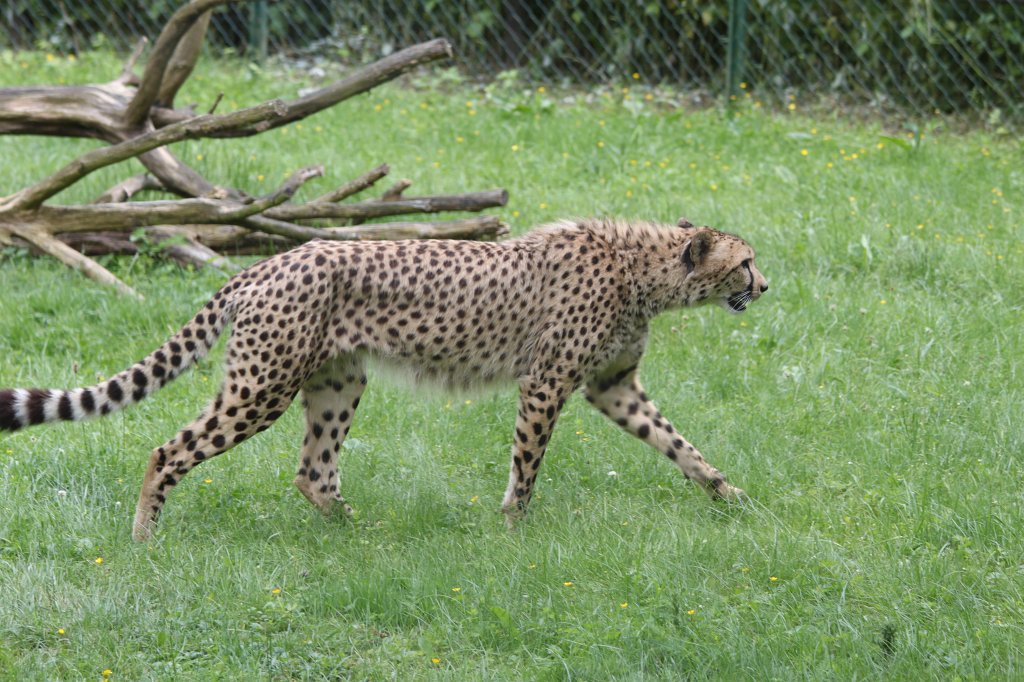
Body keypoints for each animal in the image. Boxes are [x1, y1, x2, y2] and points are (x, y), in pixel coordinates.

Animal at [0, 217, 768, 541]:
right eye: (745, 262)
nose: (765, 286)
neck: (646, 270)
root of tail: (270, 260)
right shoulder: (547, 384)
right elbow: (528, 463)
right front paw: (512, 527)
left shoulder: (613, 386)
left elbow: (678, 443)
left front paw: (730, 496)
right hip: (262, 387)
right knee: (169, 449)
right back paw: (144, 537)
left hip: (337, 382)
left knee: (312, 471)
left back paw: (361, 533)